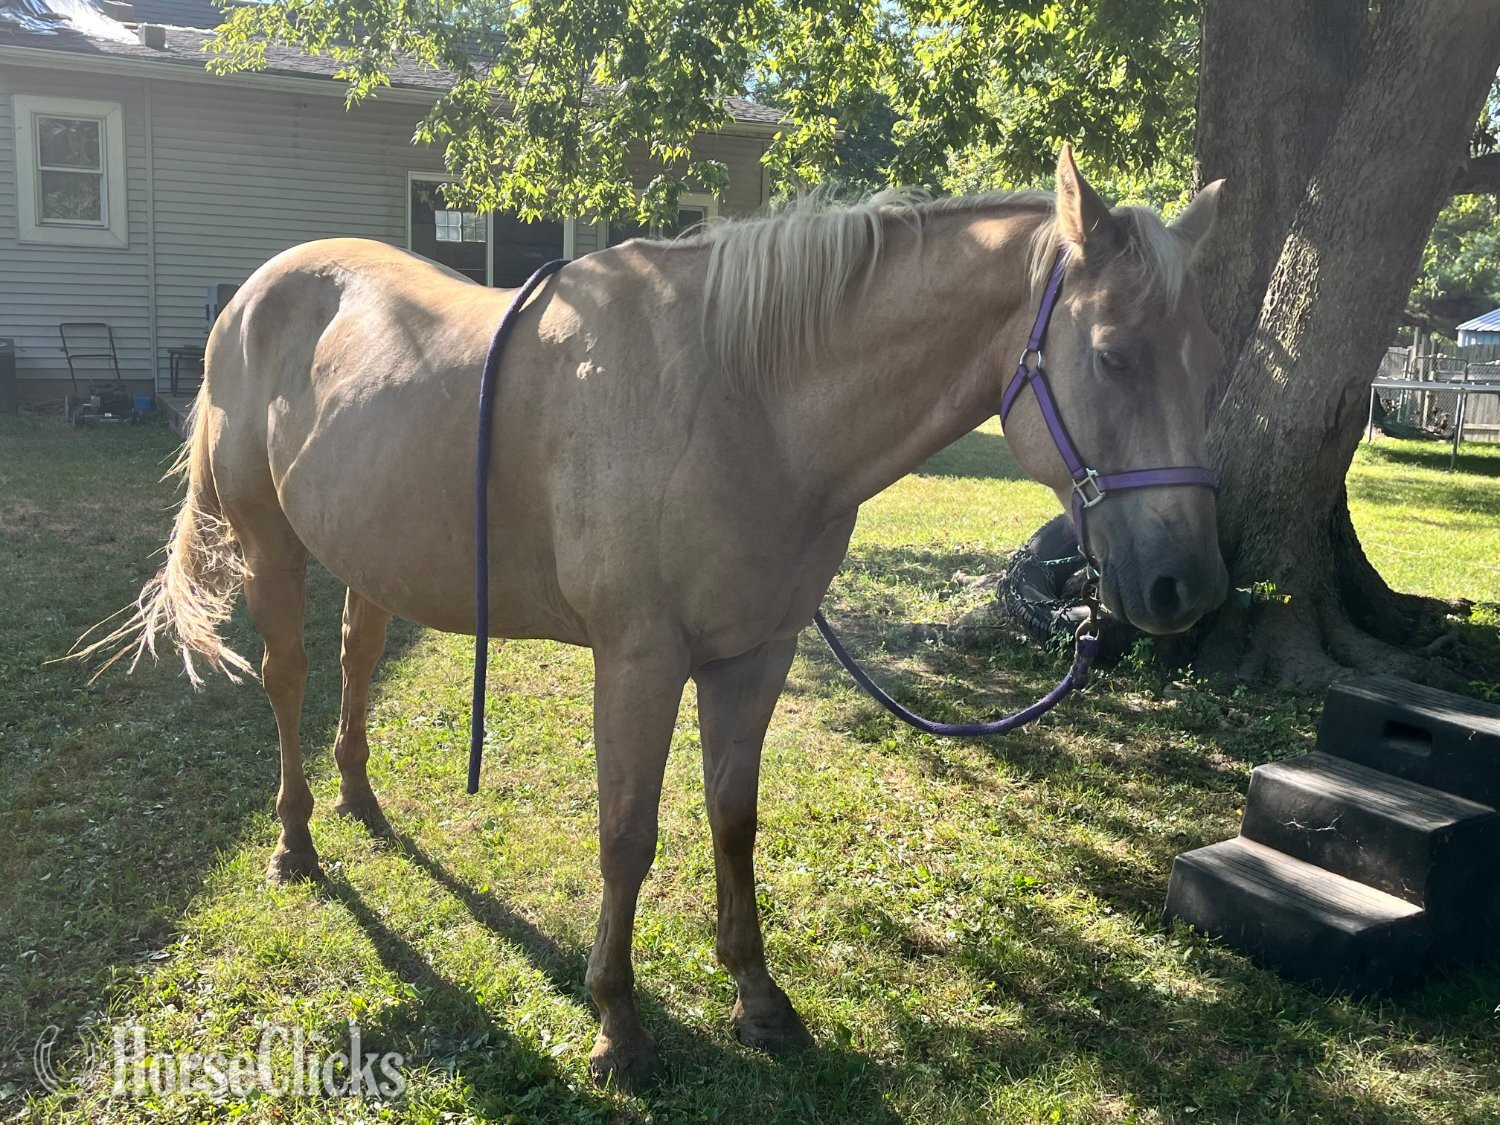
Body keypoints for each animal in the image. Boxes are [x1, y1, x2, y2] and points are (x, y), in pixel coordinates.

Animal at [85, 147, 1227, 1089]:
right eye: (1114, 354)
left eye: (1208, 364)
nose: (1188, 586)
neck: (745, 400)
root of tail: (256, 293)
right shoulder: (638, 659)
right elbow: (627, 834)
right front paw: (618, 1026)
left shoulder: (754, 654)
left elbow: (733, 820)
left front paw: (759, 1000)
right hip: (270, 544)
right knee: (288, 680)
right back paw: (296, 843)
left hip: (375, 551)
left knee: (361, 659)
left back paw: (361, 799)